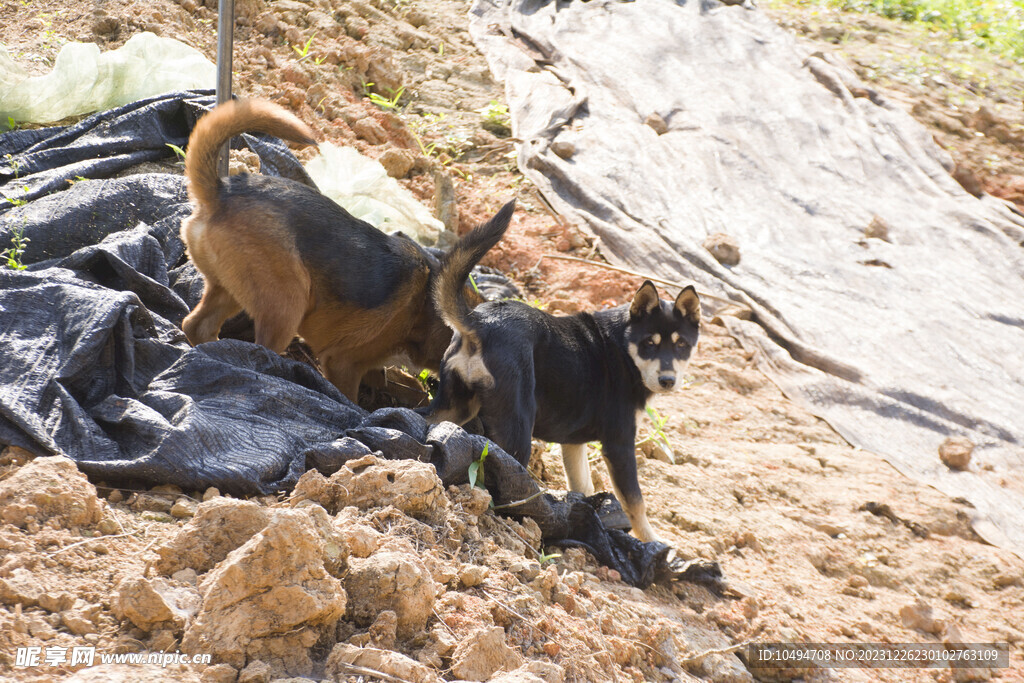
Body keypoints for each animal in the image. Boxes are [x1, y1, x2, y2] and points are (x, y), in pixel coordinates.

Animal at [182, 98, 512, 403]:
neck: (427, 307)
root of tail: (220, 192)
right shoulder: (343, 364)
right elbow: (354, 396)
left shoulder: (375, 367)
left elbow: (405, 384)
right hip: (286, 306)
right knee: (257, 349)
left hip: (229, 291)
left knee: (196, 326)